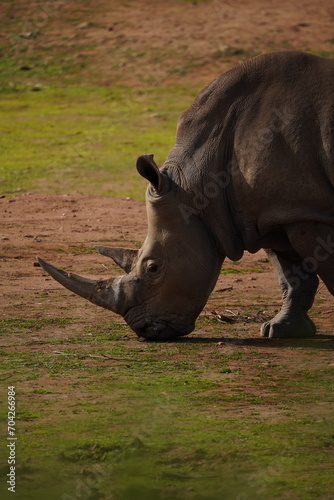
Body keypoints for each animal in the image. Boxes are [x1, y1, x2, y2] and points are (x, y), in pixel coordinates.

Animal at [38, 49, 334, 340]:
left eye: (153, 268)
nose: (144, 330)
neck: (198, 184)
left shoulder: (307, 210)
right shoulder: (276, 211)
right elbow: (291, 274)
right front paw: (281, 330)